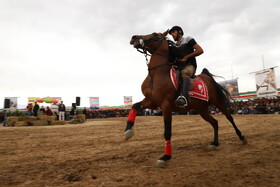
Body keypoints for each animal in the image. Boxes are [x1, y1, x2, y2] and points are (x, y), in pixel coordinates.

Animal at [124, 30, 247, 168]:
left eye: (155, 34)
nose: (134, 37)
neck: (157, 74)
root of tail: (206, 76)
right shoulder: (152, 101)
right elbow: (134, 106)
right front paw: (128, 131)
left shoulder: (165, 105)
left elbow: (167, 131)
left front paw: (165, 157)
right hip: (202, 109)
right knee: (214, 122)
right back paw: (214, 143)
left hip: (217, 102)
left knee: (229, 117)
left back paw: (241, 137)